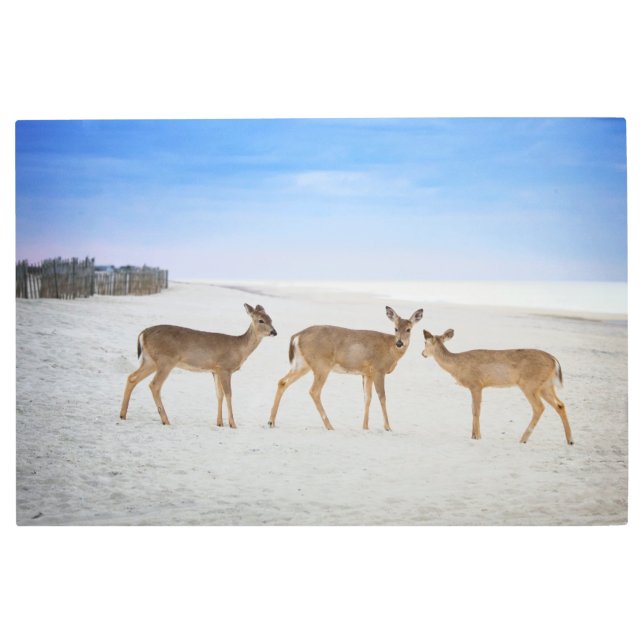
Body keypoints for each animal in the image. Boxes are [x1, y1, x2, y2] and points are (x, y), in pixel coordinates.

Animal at [119, 304, 277, 427]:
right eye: (261, 320)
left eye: (271, 319)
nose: (274, 332)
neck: (239, 348)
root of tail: (143, 333)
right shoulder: (225, 368)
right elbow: (228, 394)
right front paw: (232, 424)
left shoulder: (215, 370)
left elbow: (219, 394)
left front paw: (219, 423)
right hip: (166, 361)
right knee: (154, 385)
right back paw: (165, 420)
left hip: (150, 360)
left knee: (132, 377)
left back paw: (122, 414)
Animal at [267, 306, 424, 431]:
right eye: (395, 328)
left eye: (409, 329)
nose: (400, 343)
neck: (390, 349)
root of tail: (297, 336)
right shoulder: (378, 370)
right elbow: (382, 397)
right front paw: (388, 427)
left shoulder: (367, 373)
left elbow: (367, 398)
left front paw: (365, 427)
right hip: (321, 365)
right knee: (314, 391)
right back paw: (329, 426)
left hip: (303, 364)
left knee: (282, 382)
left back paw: (271, 421)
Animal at [421, 328, 573, 445]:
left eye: (425, 343)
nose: (422, 353)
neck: (458, 365)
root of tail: (554, 360)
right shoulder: (475, 386)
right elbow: (472, 409)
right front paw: (473, 435)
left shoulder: (476, 384)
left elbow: (476, 410)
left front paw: (478, 436)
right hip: (546, 386)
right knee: (560, 405)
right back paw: (570, 440)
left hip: (530, 384)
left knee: (539, 407)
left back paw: (523, 439)